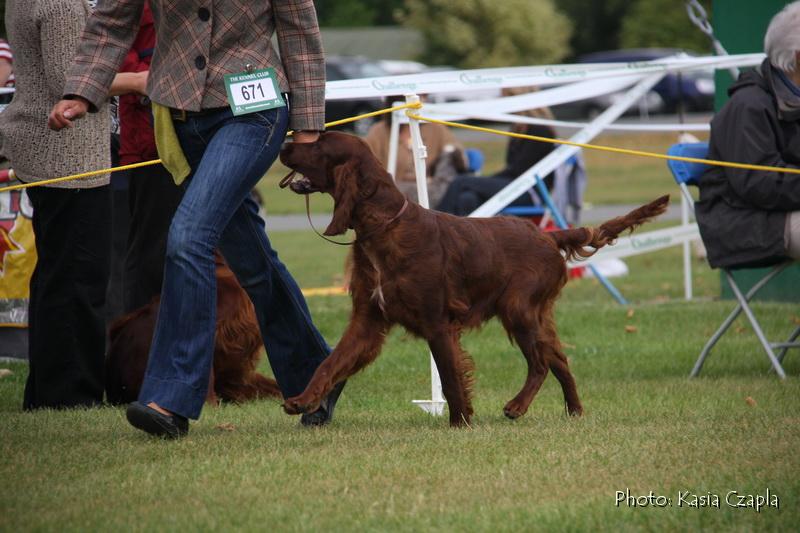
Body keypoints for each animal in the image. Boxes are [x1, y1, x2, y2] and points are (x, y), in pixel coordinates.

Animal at [278, 131, 664, 426]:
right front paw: (302, 400)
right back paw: (574, 410)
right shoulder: (367, 319)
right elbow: (329, 363)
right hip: (535, 314)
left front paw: (460, 422)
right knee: (558, 358)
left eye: (319, 143)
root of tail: (548, 236)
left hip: (518, 308)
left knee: (540, 362)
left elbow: (450, 378)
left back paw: (516, 406)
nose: (285, 142)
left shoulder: (437, 322)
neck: (384, 227)